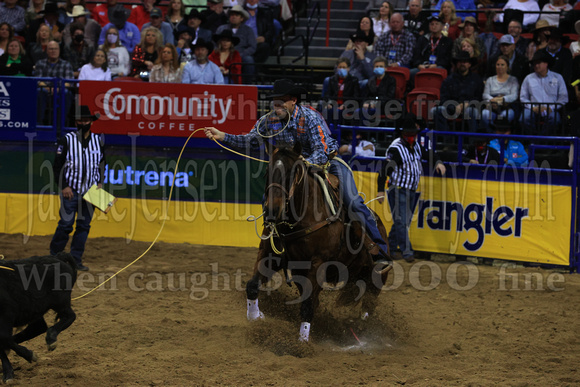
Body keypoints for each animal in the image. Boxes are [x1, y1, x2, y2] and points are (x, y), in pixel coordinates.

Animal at [245, 145, 390, 342]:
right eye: (268, 171)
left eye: (292, 173)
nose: (272, 211)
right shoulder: (270, 254)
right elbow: (252, 286)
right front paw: (256, 318)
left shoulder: (318, 263)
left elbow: (307, 305)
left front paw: (302, 342)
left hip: (376, 278)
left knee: (369, 305)